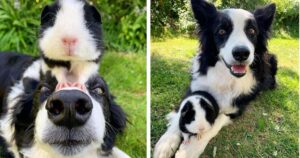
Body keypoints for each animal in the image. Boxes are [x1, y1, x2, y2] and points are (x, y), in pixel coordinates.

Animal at [155, 0, 276, 157]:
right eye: (222, 31)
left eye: (252, 31)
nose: (241, 53)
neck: (224, 76)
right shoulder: (194, 89)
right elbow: (180, 113)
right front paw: (165, 144)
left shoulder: (236, 107)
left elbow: (217, 121)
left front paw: (190, 150)